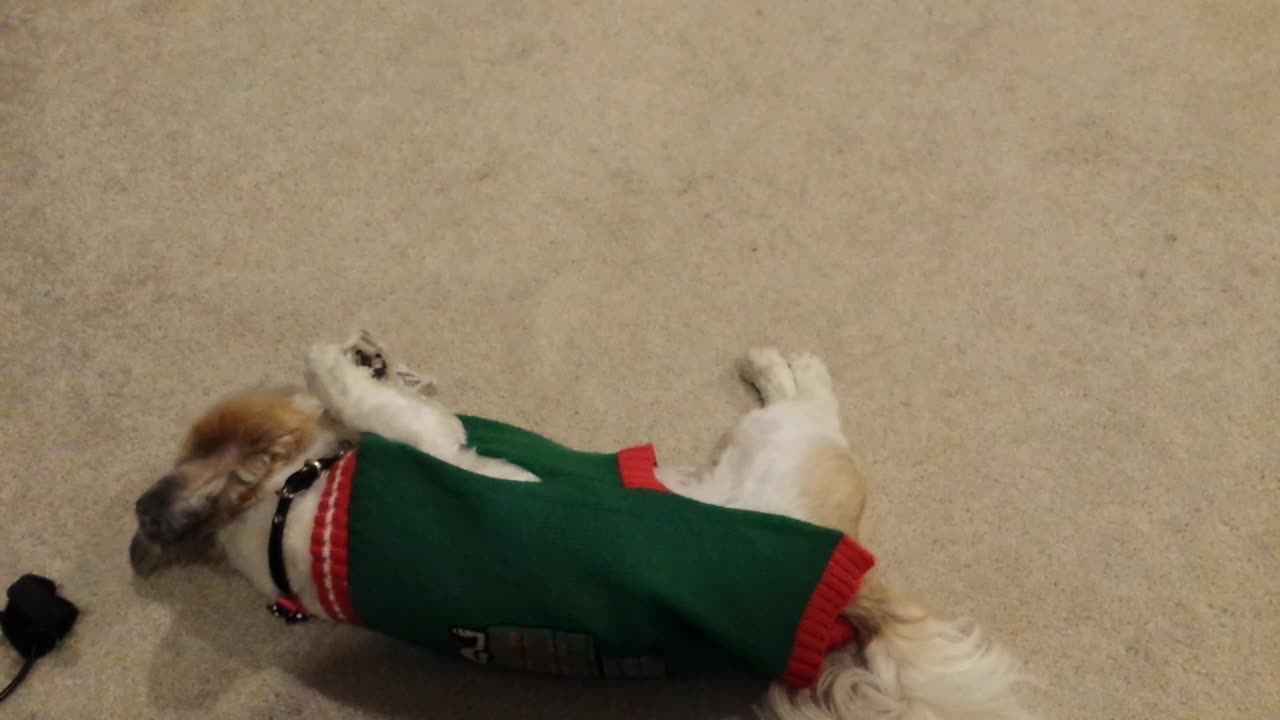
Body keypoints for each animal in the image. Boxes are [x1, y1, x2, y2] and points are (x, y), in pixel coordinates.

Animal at [129, 335, 1029, 717]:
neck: (293, 512)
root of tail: (848, 591)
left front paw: (370, 360)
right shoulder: (433, 447)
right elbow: (379, 404)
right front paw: (334, 364)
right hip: (782, 449)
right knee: (812, 409)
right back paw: (787, 370)